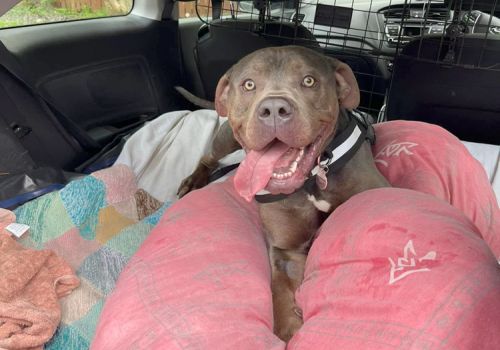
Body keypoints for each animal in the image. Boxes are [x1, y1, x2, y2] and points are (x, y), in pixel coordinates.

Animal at [178, 45, 388, 342]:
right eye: (249, 84)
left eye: (309, 81)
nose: (274, 109)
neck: (312, 179)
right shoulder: (285, 250)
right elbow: (279, 291)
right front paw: (290, 329)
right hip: (225, 137)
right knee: (209, 157)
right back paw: (193, 181)